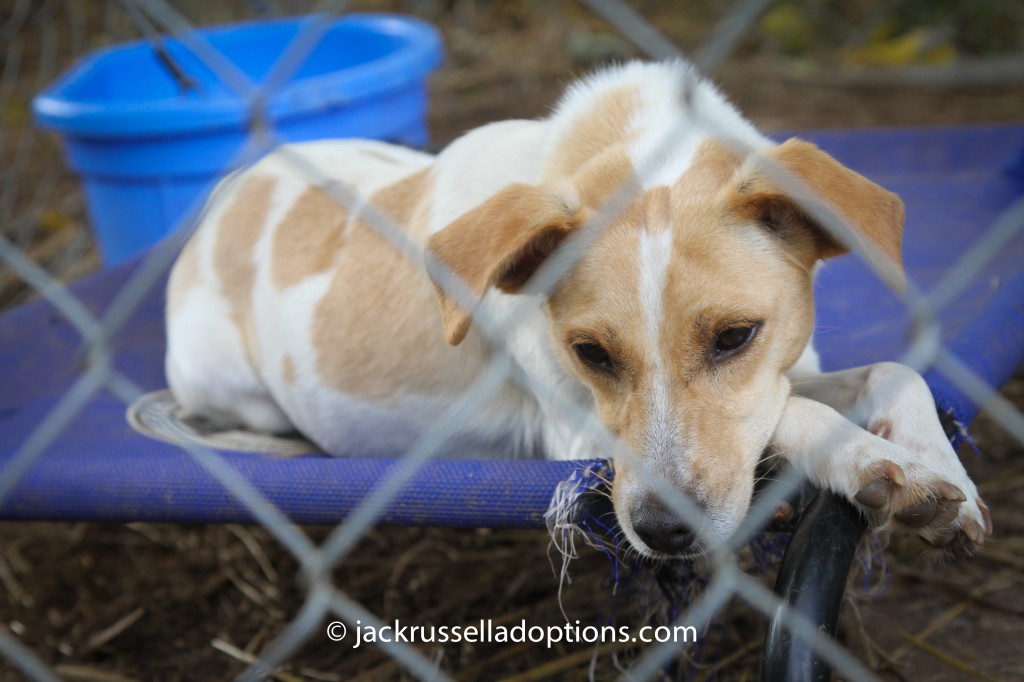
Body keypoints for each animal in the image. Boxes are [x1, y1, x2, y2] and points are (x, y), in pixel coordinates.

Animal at [167, 61, 991, 557]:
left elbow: (890, 374)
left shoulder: (785, 367)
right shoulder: (574, 434)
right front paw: (873, 462)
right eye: (591, 353)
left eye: (735, 336)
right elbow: (798, 412)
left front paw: (933, 462)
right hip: (229, 383)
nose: (664, 533)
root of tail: (226, 192)